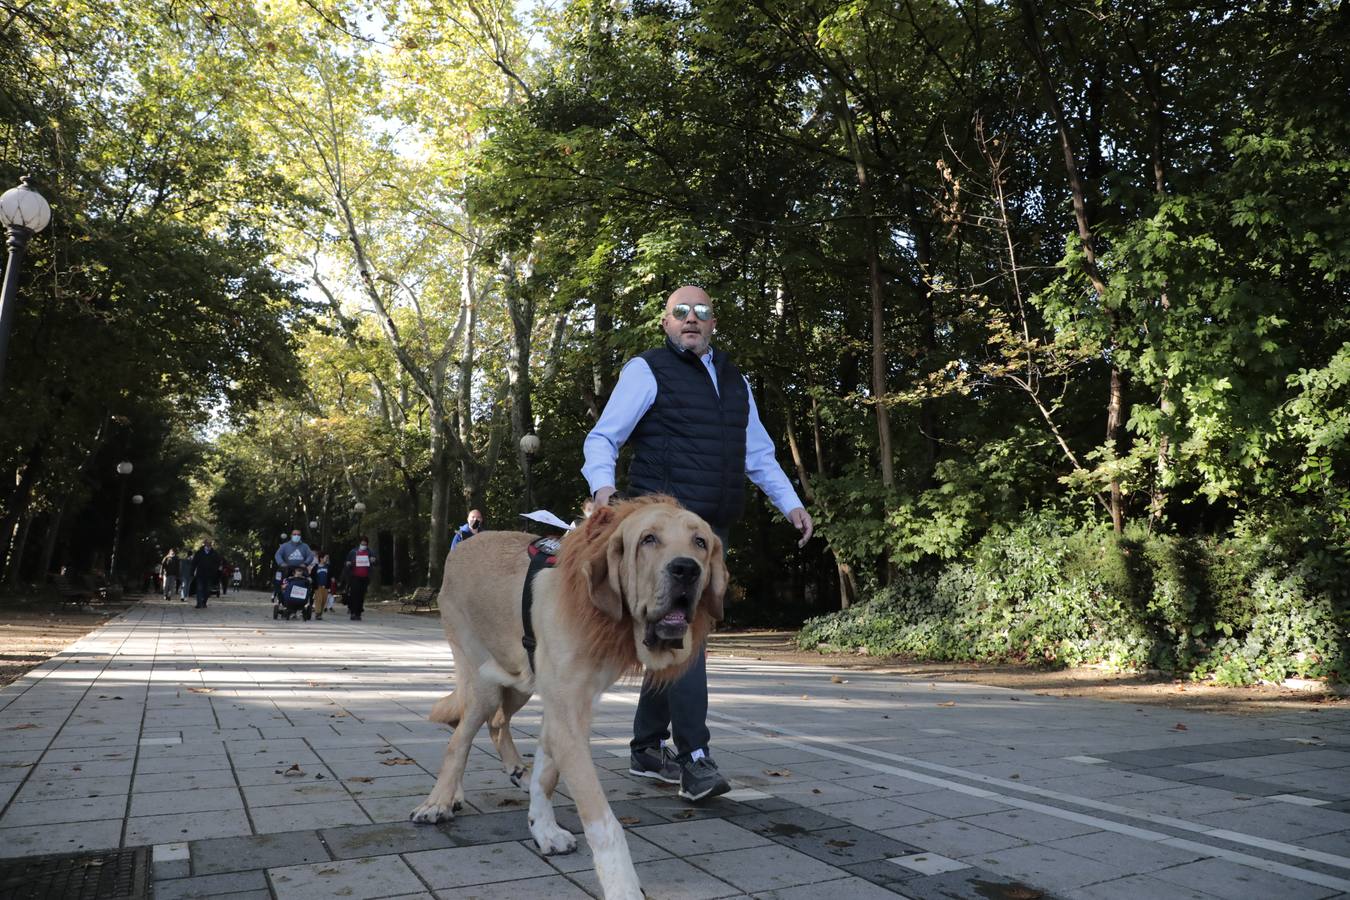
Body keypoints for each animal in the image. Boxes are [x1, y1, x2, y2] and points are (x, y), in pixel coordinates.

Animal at [410, 496, 729, 895]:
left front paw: (543, 828)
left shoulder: (566, 708)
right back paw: (439, 801)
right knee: (461, 737)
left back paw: (507, 773)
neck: (598, 611)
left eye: (700, 542)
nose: (686, 570)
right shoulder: (567, 715)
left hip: (519, 680)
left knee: (496, 722)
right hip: (483, 679)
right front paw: (623, 887)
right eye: (648, 539)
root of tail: (460, 550)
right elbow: (603, 822)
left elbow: (546, 777)